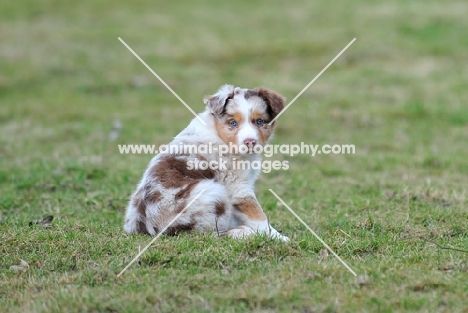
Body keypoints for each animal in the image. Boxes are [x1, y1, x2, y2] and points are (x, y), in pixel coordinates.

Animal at [122, 84, 288, 240]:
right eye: (233, 123)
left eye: (259, 121)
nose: (250, 142)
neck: (219, 134)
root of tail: (142, 227)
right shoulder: (237, 186)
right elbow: (259, 216)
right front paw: (278, 238)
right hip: (212, 193)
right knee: (208, 234)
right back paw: (243, 232)